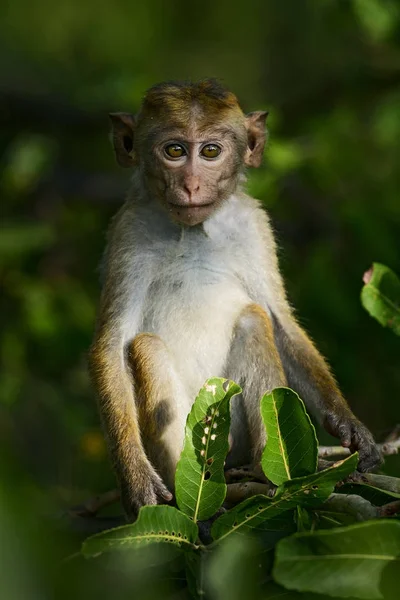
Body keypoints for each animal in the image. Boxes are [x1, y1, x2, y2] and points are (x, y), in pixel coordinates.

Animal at [89, 79, 382, 520]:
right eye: (174, 151)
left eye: (211, 151)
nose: (191, 184)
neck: (193, 230)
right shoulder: (129, 232)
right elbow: (112, 343)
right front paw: (136, 480)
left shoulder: (253, 223)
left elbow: (280, 322)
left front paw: (349, 425)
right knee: (146, 346)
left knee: (253, 319)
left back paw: (265, 471)